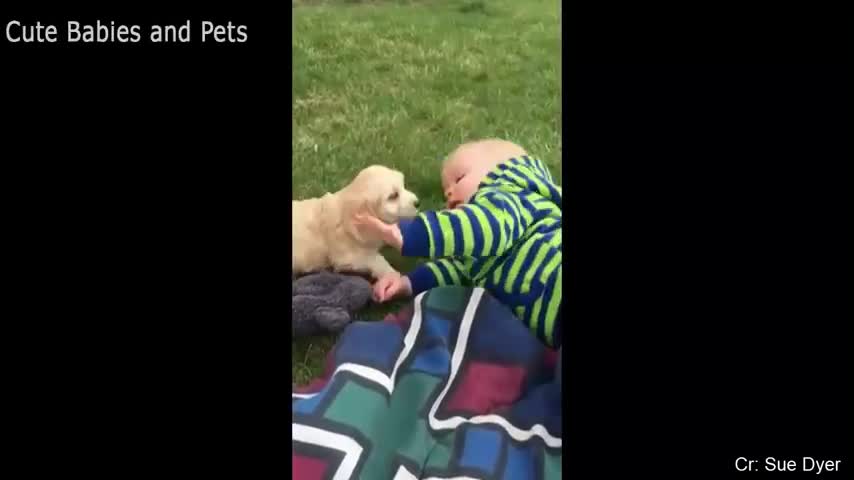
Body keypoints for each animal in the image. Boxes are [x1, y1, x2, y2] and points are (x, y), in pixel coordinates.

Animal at [292, 165, 420, 278]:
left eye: (403, 186)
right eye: (393, 196)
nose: (418, 203)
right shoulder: (348, 256)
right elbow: (377, 259)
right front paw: (392, 274)